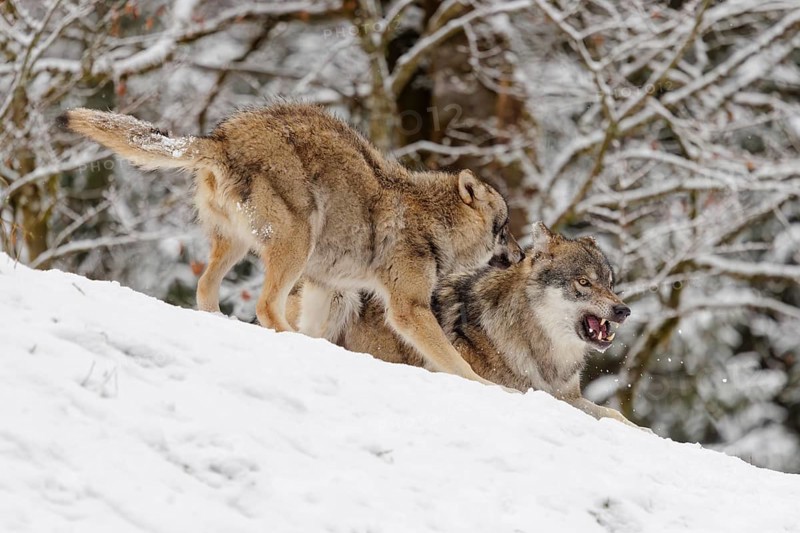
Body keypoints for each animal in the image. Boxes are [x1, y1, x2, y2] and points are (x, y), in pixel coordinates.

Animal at [58, 103, 523, 387]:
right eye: (505, 229)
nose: (520, 254)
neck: (433, 221)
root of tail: (222, 138)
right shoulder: (407, 309)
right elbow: (457, 362)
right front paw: (490, 388)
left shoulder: (326, 288)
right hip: (296, 244)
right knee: (266, 307)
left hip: (239, 249)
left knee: (206, 290)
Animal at [291, 222, 639, 427]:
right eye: (584, 282)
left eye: (610, 283)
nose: (624, 310)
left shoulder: (568, 395)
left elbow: (614, 415)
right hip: (341, 294)